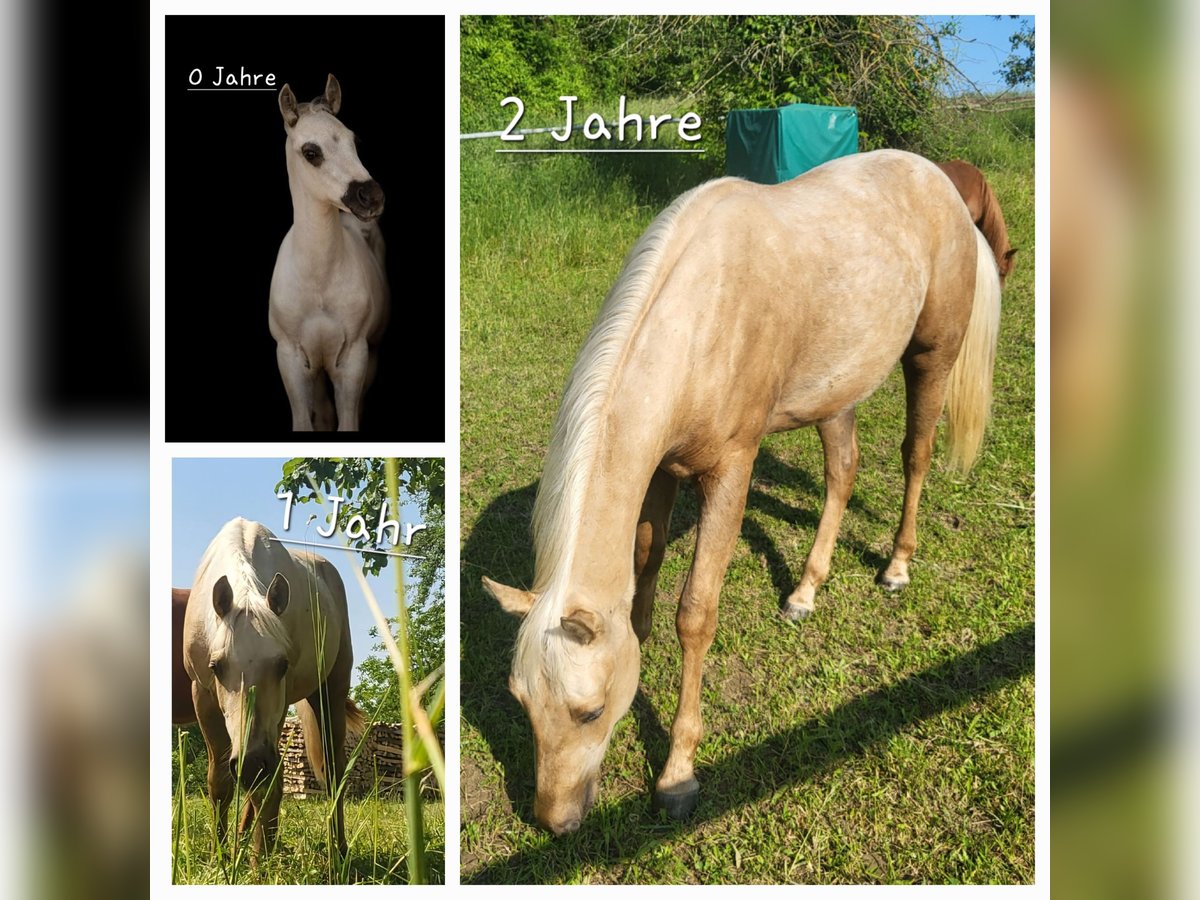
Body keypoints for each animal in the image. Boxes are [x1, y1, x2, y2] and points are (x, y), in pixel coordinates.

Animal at [270, 72, 386, 432]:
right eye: (311, 152)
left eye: (354, 141)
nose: (371, 197)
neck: (318, 280)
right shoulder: (291, 359)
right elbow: (305, 423)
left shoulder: (354, 358)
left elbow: (348, 422)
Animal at [482, 150, 1008, 840]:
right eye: (521, 701)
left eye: (590, 712)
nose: (555, 822)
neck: (702, 317)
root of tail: (940, 182)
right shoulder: (662, 470)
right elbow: (645, 573)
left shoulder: (730, 472)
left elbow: (695, 614)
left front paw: (677, 776)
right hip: (835, 392)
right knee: (843, 472)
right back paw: (805, 591)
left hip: (931, 357)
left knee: (914, 457)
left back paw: (896, 566)